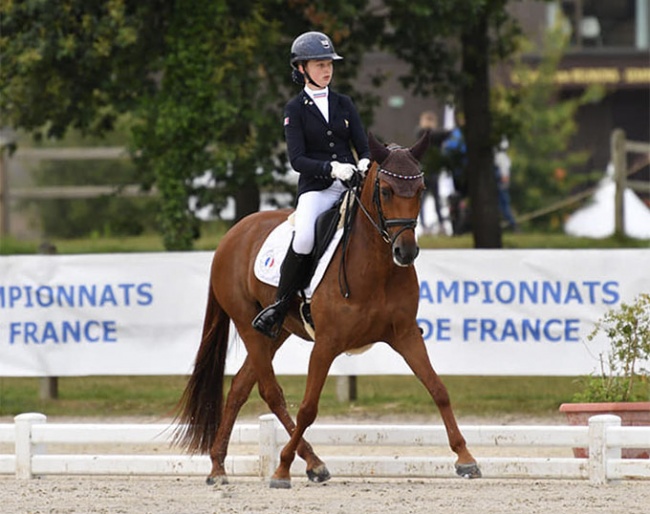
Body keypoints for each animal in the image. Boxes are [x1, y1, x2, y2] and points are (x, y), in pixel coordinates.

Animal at [175, 131, 478, 484]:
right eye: (386, 191)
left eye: (421, 190)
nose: (406, 252)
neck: (376, 267)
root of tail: (231, 234)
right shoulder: (326, 344)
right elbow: (308, 407)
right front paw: (281, 468)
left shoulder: (405, 335)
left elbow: (438, 388)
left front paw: (465, 458)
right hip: (247, 322)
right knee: (270, 391)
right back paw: (302, 462)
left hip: (276, 332)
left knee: (240, 387)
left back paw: (221, 465)